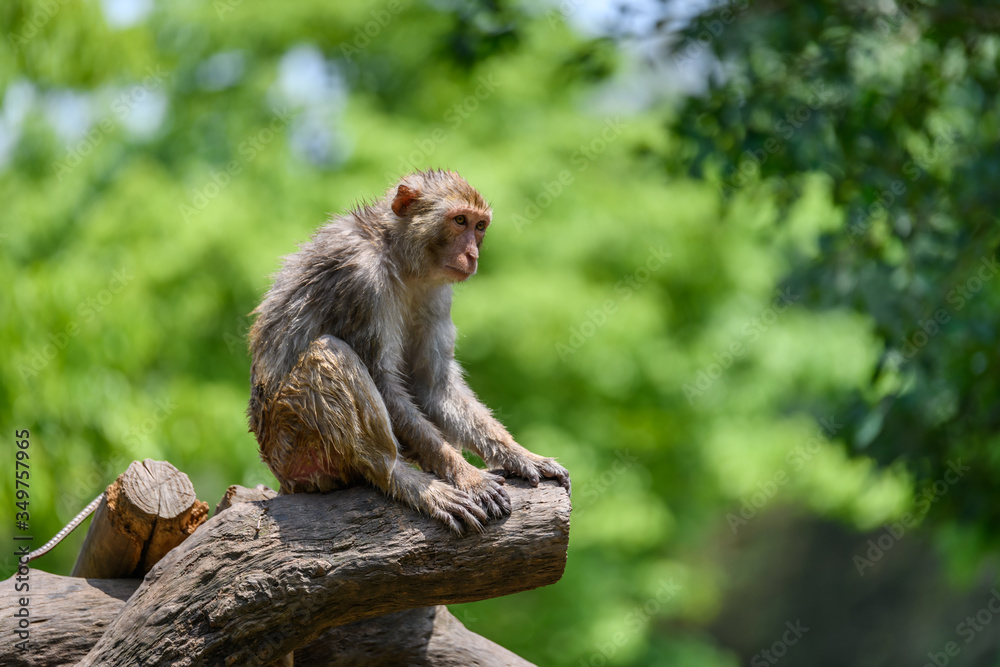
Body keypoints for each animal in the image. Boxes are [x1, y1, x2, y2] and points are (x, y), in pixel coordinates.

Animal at [247, 170, 572, 536]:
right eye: (460, 221)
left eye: (480, 226)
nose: (472, 255)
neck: (399, 258)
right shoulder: (360, 278)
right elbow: (385, 384)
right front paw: (468, 476)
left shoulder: (438, 293)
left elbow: (431, 387)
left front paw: (518, 455)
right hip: (293, 445)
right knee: (331, 353)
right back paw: (402, 479)